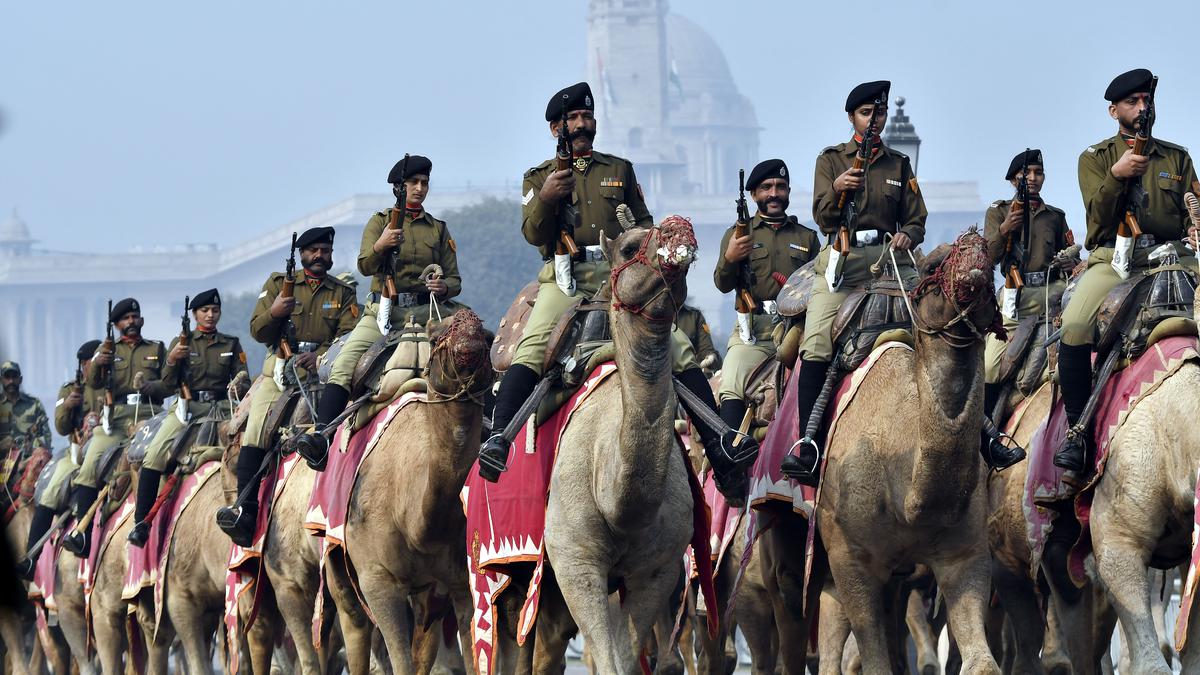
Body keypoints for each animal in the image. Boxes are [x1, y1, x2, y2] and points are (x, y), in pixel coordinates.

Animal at [328, 309, 487, 672]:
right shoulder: (378, 581)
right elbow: (399, 661)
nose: (468, 329)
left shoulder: (460, 580)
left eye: (487, 336)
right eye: (437, 335)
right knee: (354, 628)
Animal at [816, 229, 1003, 667]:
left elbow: (981, 662)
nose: (973, 244)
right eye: (934, 265)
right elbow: (874, 662)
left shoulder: (965, 554)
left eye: (993, 260)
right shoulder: (849, 557)